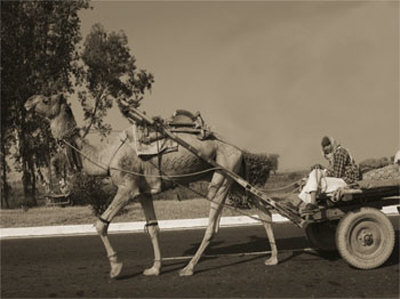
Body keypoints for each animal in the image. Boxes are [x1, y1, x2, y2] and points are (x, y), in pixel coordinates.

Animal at [24, 94, 278, 278]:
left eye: (46, 99)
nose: (27, 102)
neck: (104, 156)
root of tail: (239, 149)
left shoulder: (126, 187)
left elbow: (100, 224)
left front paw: (116, 268)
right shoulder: (142, 192)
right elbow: (153, 228)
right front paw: (154, 268)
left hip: (223, 176)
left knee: (213, 226)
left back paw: (188, 268)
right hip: (233, 177)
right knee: (263, 207)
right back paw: (273, 257)